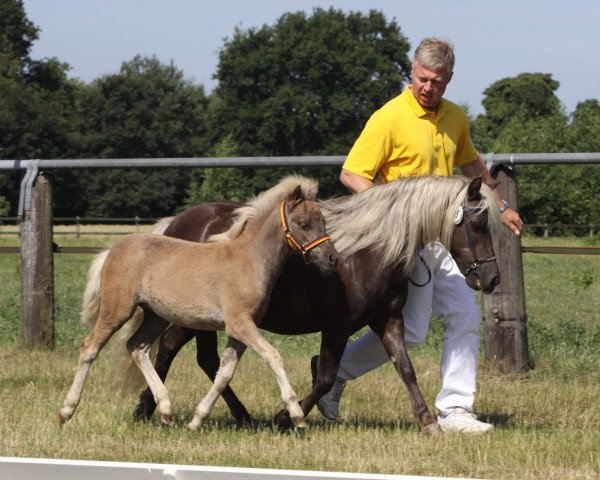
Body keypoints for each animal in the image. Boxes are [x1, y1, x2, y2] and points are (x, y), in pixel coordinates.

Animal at [58, 176, 340, 432]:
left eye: (324, 222)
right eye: (304, 224)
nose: (332, 258)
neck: (249, 260)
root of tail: (112, 250)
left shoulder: (239, 330)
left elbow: (224, 373)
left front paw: (196, 420)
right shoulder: (240, 324)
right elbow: (273, 356)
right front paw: (296, 415)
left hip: (156, 316)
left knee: (137, 346)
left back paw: (166, 410)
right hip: (117, 310)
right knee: (90, 348)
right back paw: (66, 411)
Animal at [123, 174, 502, 434]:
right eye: (478, 223)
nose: (492, 279)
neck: (368, 253)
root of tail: (174, 222)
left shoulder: (389, 320)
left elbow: (404, 368)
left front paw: (428, 422)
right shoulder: (336, 326)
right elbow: (325, 377)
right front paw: (287, 417)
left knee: (188, 354)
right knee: (181, 352)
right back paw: (159, 409)